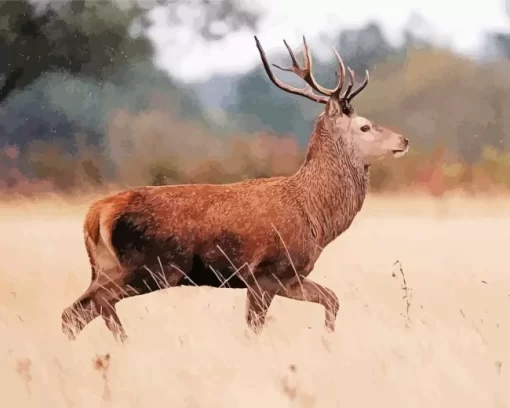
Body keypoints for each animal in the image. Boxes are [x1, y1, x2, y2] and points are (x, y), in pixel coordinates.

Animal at [60, 35, 410, 342]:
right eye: (364, 126)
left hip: (107, 267)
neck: (316, 218)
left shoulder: (289, 276)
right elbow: (255, 328)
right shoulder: (265, 272)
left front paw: (328, 340)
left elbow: (332, 299)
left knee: (77, 312)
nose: (404, 140)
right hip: (151, 266)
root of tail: (96, 213)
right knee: (92, 306)